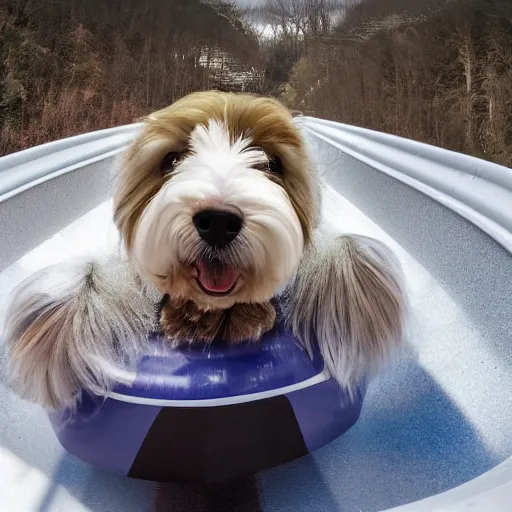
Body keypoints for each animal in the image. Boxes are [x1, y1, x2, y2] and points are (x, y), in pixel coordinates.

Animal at [3, 90, 408, 410]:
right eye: (172, 160)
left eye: (271, 163)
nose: (217, 220)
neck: (214, 311)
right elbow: (86, 281)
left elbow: (344, 252)